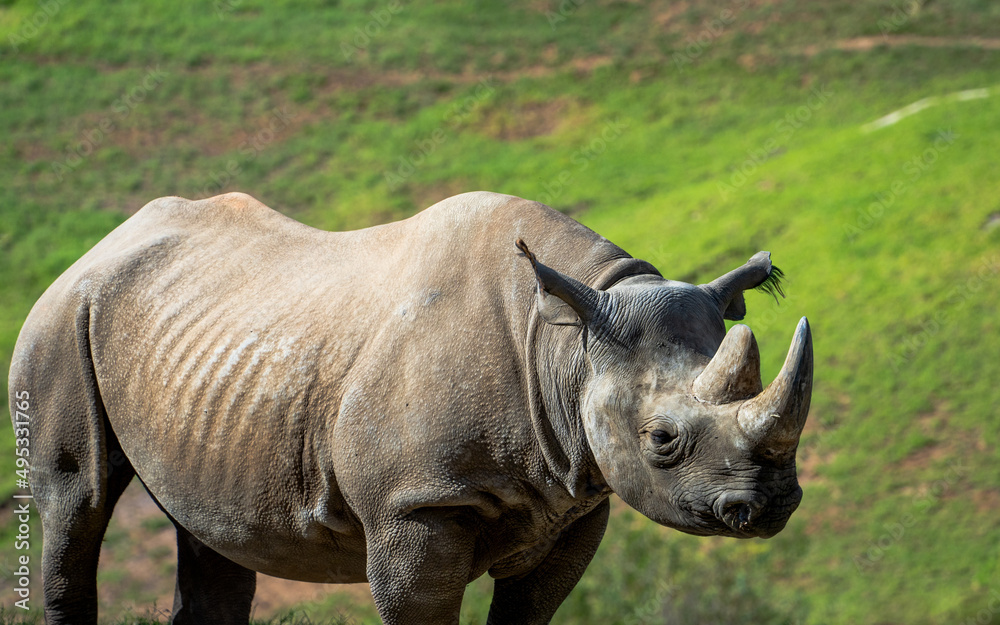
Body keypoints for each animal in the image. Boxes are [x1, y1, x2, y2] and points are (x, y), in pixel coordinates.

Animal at [9, 191, 812, 625]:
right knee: (76, 500)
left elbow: (529, 606)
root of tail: (104, 242)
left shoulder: (575, 500)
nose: (771, 504)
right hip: (60, 316)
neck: (565, 346)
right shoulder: (414, 503)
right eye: (662, 439)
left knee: (207, 525)